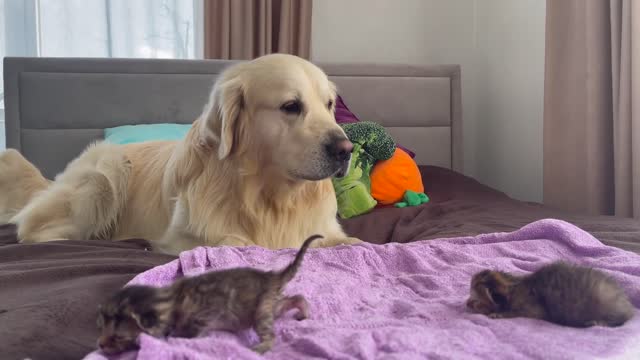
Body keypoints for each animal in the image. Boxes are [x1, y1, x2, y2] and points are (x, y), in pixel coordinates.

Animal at [97, 233, 322, 354]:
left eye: (118, 337)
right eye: (102, 328)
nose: (100, 345)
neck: (167, 300)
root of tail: (273, 277)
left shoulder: (205, 312)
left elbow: (190, 330)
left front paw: (177, 337)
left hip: (261, 311)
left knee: (271, 333)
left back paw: (259, 348)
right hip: (269, 304)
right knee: (295, 298)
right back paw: (304, 312)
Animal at [464, 260, 636, 328]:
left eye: (478, 284)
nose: (472, 277)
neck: (514, 286)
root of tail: (629, 308)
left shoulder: (532, 310)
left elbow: (511, 313)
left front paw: (496, 314)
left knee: (617, 322)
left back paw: (595, 323)